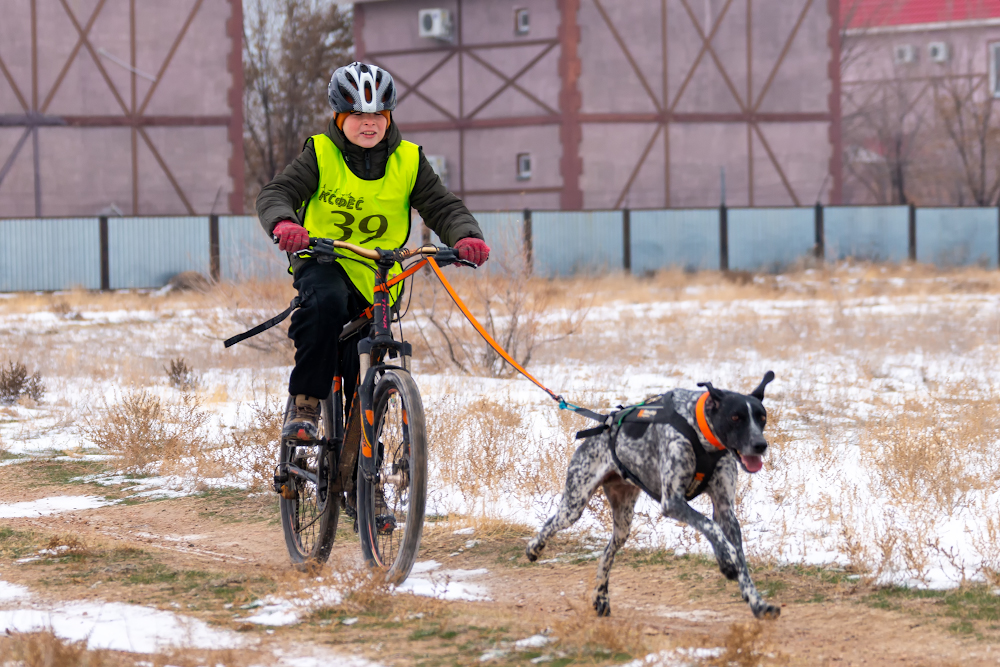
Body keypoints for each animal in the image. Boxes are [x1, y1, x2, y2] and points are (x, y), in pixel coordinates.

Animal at [528, 370, 776, 620]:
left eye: (761, 417)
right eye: (735, 417)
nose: (760, 445)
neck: (699, 431)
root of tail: (603, 426)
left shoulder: (725, 510)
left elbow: (738, 556)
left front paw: (757, 602)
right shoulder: (673, 502)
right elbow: (711, 527)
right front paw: (727, 559)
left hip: (623, 523)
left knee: (607, 554)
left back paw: (601, 597)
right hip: (574, 504)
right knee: (551, 524)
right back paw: (534, 548)